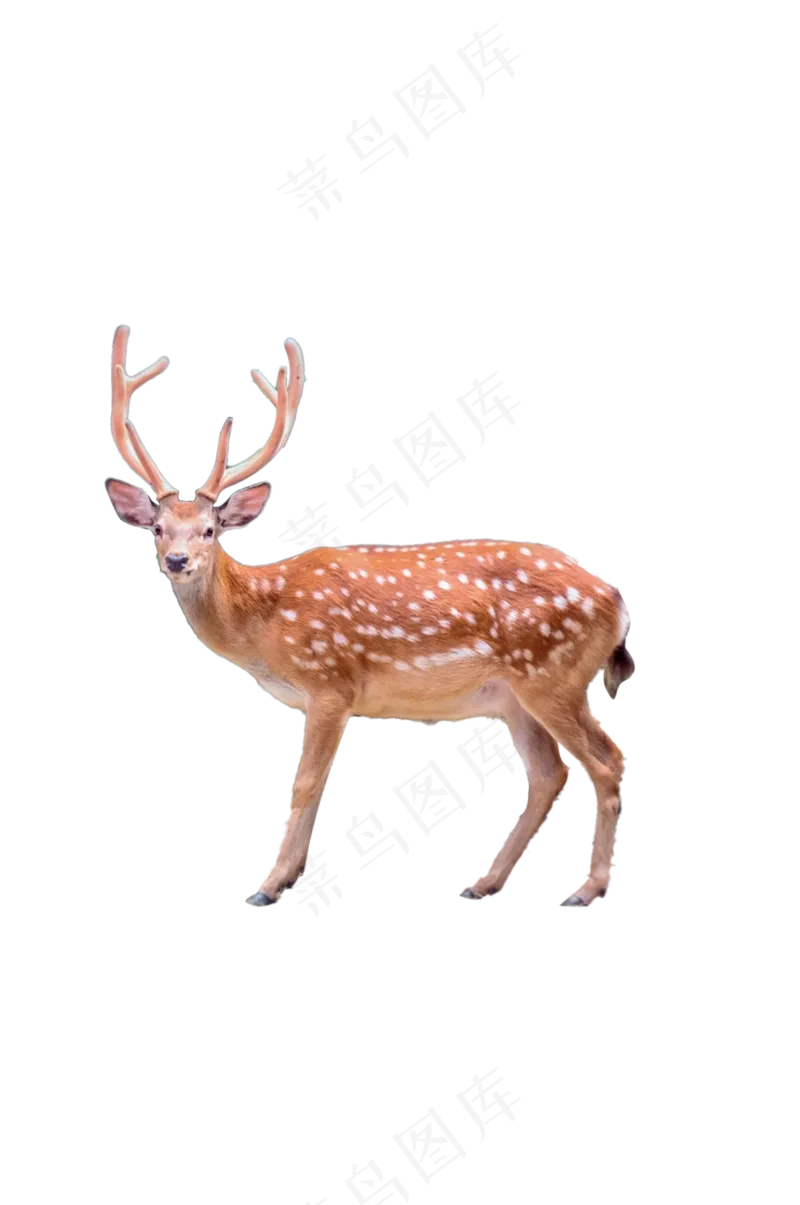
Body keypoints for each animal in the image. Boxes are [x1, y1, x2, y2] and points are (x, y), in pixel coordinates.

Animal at [105, 325, 635, 908]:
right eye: (158, 529)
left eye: (210, 530)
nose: (178, 561)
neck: (266, 622)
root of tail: (615, 602)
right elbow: (313, 783)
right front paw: (286, 877)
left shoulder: (330, 680)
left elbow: (305, 783)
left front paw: (267, 885)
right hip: (514, 695)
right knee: (549, 773)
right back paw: (483, 881)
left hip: (552, 675)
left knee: (607, 758)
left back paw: (588, 887)